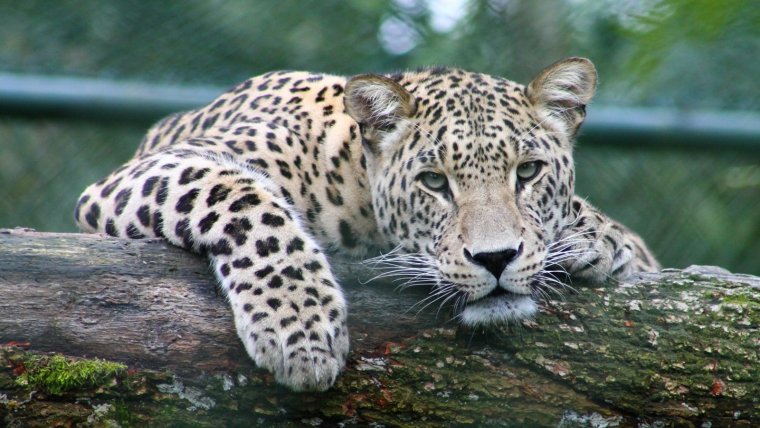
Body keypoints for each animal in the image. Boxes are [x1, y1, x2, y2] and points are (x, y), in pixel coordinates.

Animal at [75, 56, 660, 392]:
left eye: (529, 172)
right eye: (433, 182)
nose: (495, 259)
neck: (352, 179)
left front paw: (599, 239)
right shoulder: (147, 172)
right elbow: (245, 200)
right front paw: (301, 329)